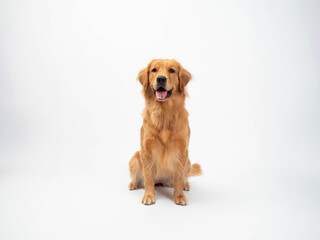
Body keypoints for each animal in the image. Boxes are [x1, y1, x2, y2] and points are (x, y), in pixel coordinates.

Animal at [128, 59, 201, 205]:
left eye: (172, 70)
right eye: (154, 70)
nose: (161, 78)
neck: (164, 113)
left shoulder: (182, 150)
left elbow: (178, 178)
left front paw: (179, 196)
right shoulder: (146, 149)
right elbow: (148, 177)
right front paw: (148, 196)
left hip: (188, 161)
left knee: (184, 178)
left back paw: (186, 185)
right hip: (135, 157)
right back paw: (133, 184)